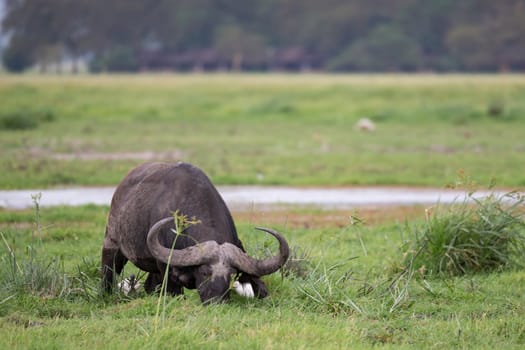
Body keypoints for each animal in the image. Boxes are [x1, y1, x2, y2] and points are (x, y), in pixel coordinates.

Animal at [101, 162, 290, 304]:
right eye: (204, 272)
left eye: (230, 275)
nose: (216, 301)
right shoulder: (167, 269)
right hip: (112, 244)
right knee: (108, 274)